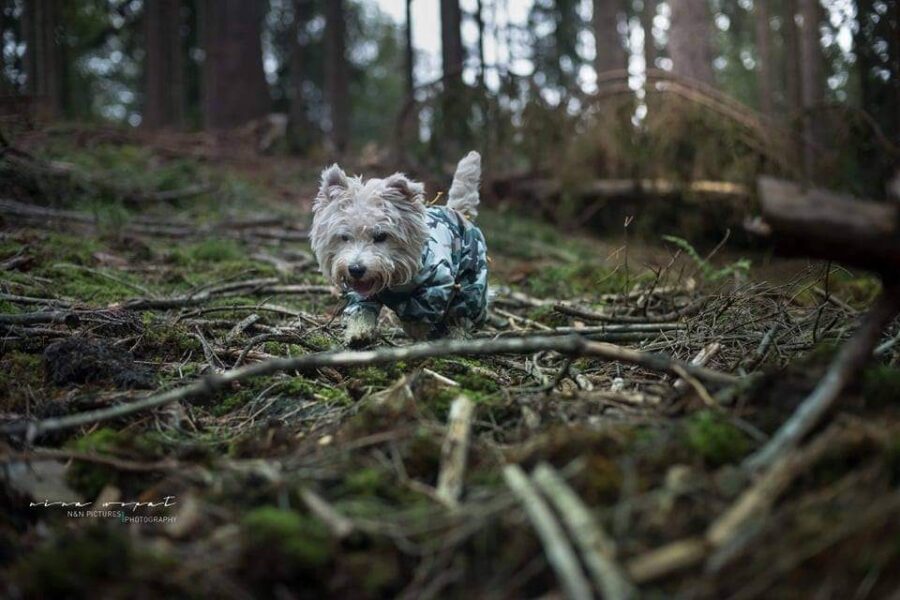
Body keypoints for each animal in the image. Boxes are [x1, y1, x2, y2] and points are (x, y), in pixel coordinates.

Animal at [312, 150, 492, 344]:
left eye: (381, 236)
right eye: (344, 237)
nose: (356, 269)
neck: (396, 276)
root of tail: (459, 212)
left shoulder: (436, 287)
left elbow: (420, 316)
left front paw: (419, 330)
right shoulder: (360, 293)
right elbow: (362, 308)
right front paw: (358, 333)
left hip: (472, 280)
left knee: (463, 312)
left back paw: (457, 336)